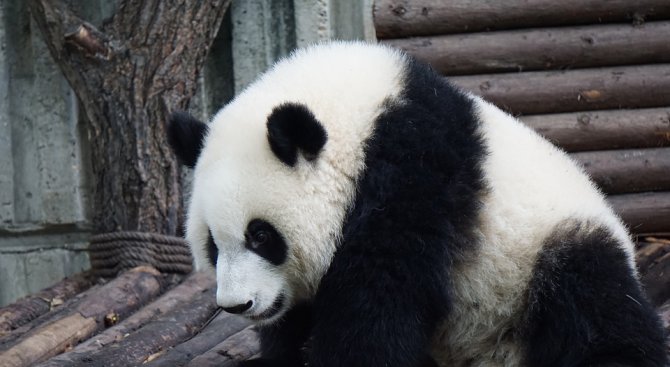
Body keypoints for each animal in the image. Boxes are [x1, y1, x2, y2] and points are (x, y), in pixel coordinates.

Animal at [168, 41, 668, 366]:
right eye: (212, 244)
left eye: (261, 235)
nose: (238, 304)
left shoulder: (412, 180)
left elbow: (380, 303)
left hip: (541, 259)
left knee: (591, 306)